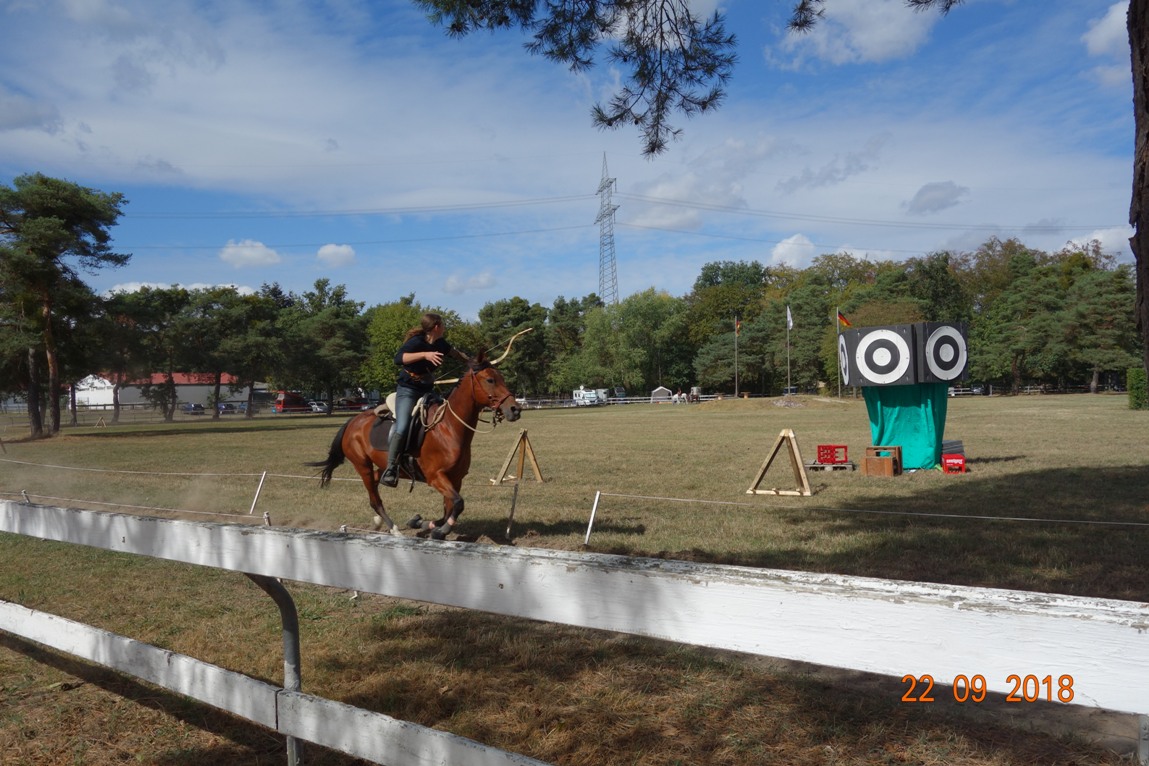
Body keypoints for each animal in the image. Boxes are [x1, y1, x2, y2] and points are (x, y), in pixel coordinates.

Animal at [305, 342, 521, 539]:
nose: (515, 409)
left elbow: (449, 510)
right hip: (362, 465)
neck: (449, 428)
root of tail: (352, 421)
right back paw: (393, 529)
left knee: (376, 483)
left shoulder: (455, 479)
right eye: (490, 379)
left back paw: (379, 521)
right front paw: (438, 530)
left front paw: (422, 523)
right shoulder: (436, 477)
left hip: (384, 467)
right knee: (375, 499)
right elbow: (458, 504)